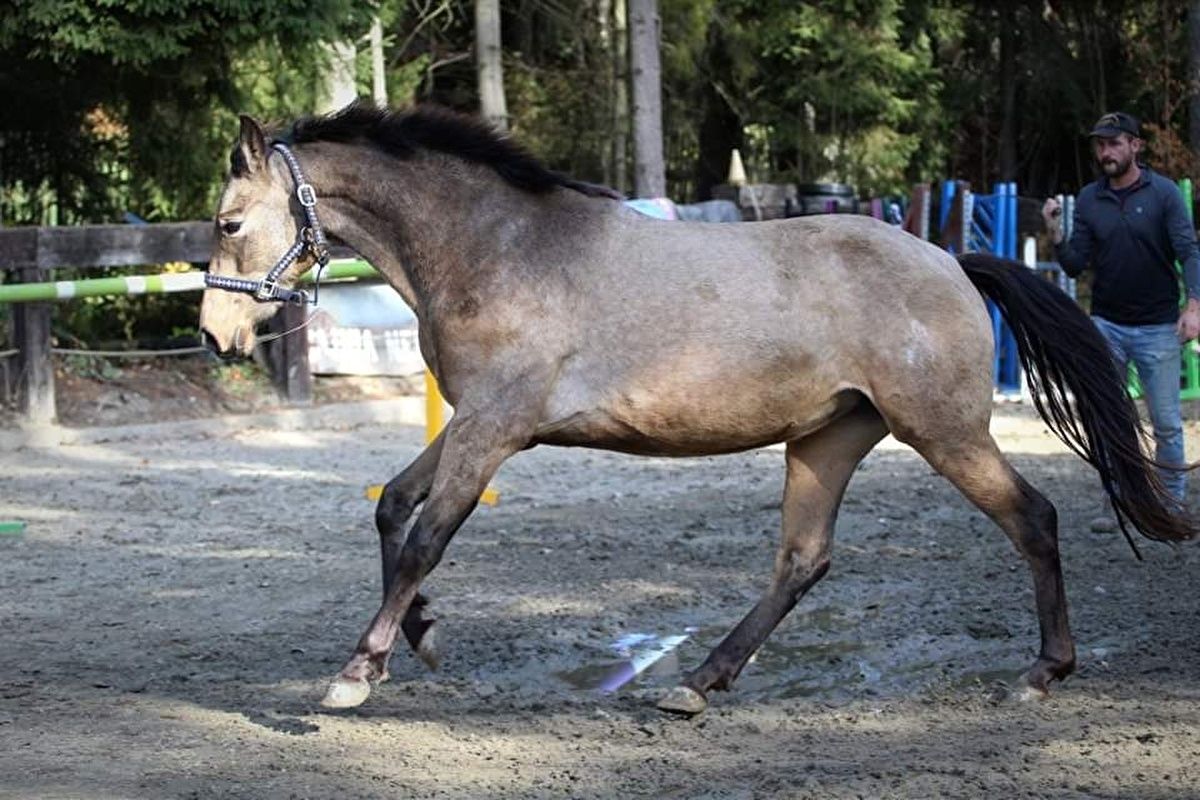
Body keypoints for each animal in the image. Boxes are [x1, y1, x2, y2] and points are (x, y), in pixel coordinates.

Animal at [196, 103, 1190, 714]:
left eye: (229, 222)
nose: (213, 334)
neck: (501, 246)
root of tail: (950, 260)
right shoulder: (481, 424)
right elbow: (396, 510)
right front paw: (423, 634)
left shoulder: (493, 428)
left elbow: (425, 536)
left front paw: (357, 672)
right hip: (829, 439)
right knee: (802, 561)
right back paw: (700, 682)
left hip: (943, 433)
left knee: (1034, 518)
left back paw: (1043, 672)